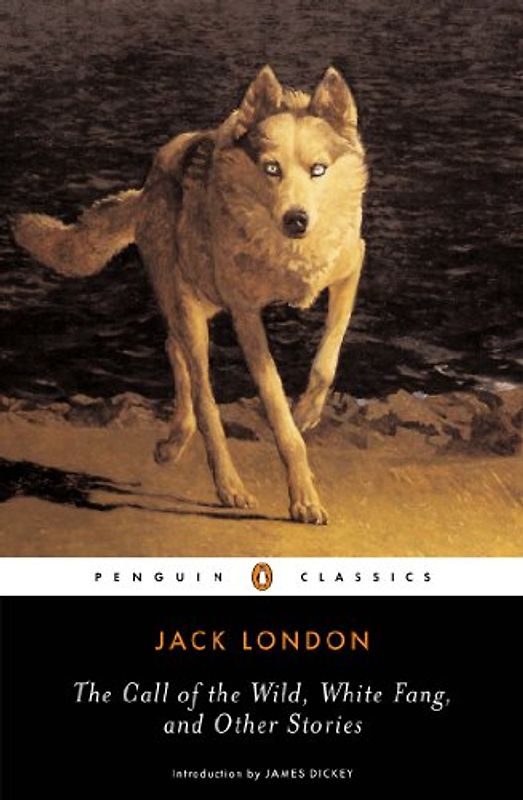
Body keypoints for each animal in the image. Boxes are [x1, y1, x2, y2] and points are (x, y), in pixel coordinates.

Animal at [12, 65, 367, 525]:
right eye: (271, 168)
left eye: (319, 170)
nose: (297, 220)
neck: (286, 253)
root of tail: (148, 186)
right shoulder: (246, 315)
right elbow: (277, 412)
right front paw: (303, 498)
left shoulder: (350, 269)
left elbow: (327, 360)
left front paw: (307, 413)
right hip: (192, 309)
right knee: (203, 397)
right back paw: (228, 486)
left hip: (200, 303)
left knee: (173, 348)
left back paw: (173, 444)